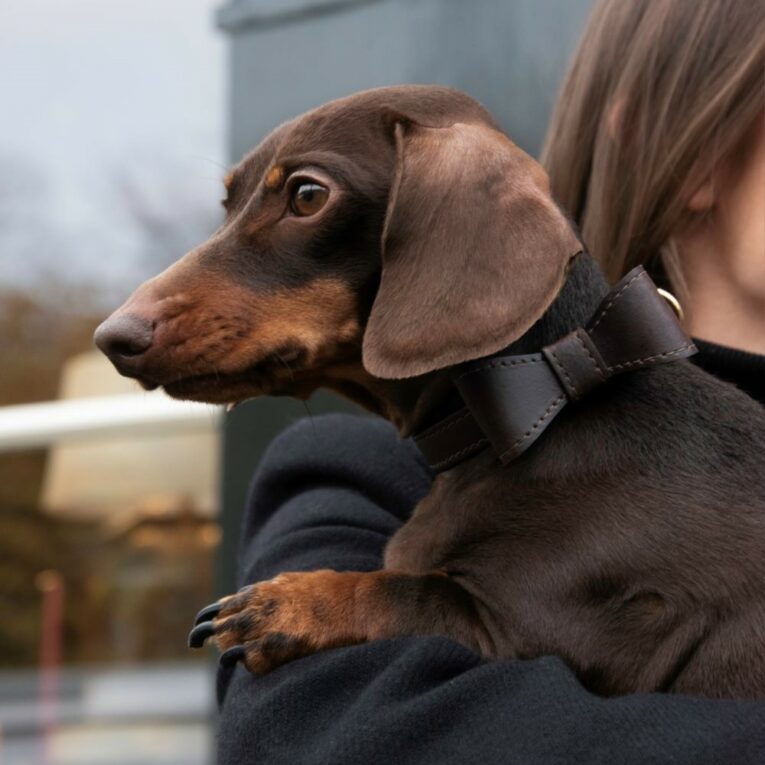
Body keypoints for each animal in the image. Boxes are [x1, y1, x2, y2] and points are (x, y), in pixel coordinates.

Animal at [95, 86, 764, 696]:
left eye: (307, 194)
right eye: (228, 201)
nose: (113, 338)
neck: (536, 400)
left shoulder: (558, 633)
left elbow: (407, 592)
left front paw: (293, 602)